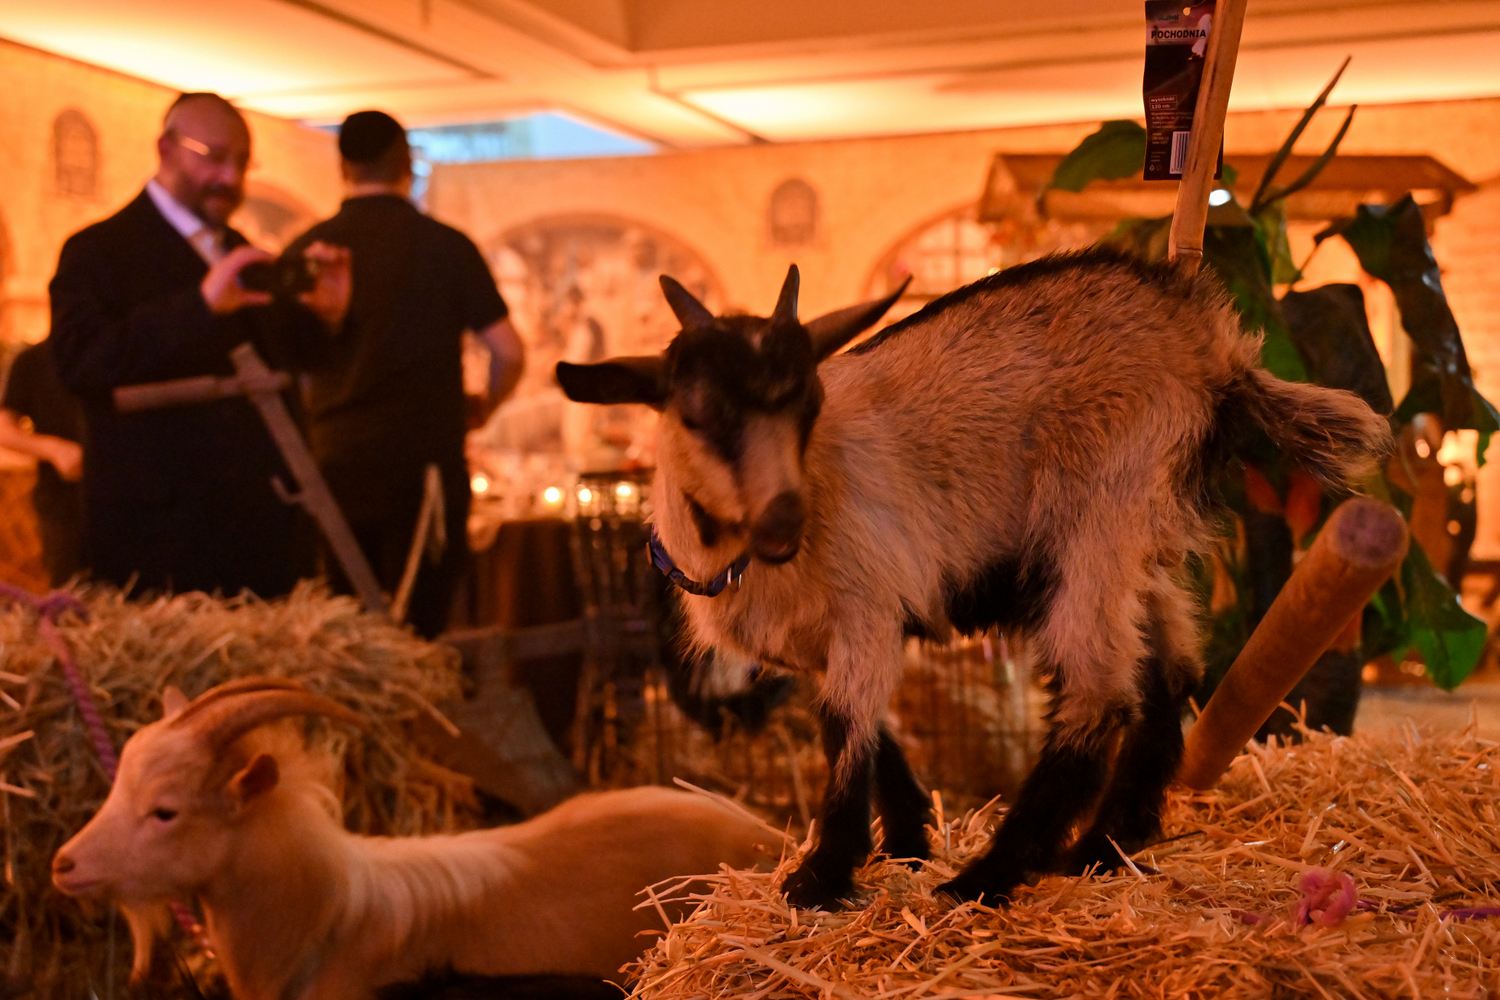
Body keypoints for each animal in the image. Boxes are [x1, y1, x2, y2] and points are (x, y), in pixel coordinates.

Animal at [555, 246, 1392, 909]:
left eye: (809, 404)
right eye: (696, 414)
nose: (785, 521)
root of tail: (1213, 345)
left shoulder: (865, 610)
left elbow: (845, 731)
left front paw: (824, 877)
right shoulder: (826, 644)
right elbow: (874, 730)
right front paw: (904, 841)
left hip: (1097, 518)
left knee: (1098, 694)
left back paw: (991, 876)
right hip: (1143, 540)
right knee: (1166, 674)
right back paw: (1102, 849)